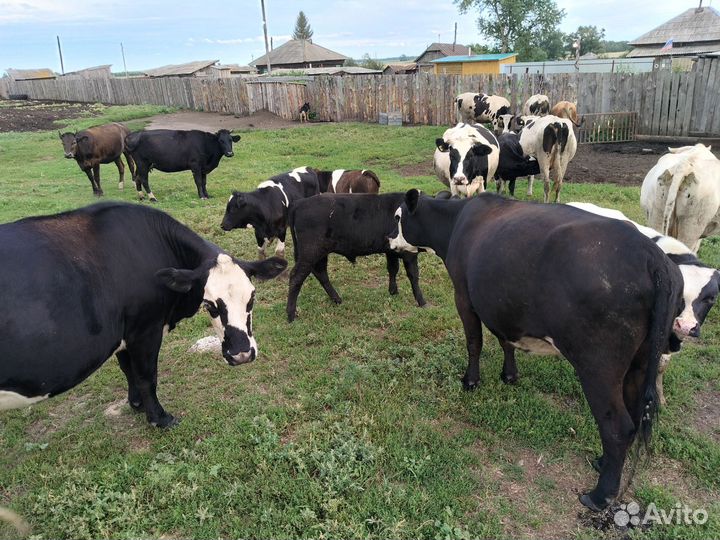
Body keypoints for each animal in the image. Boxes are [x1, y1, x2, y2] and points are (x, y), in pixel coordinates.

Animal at [0, 202, 287, 427]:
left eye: (252, 296)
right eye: (209, 304)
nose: (241, 354)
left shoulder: (124, 333)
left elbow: (129, 370)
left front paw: (137, 404)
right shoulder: (145, 330)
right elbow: (147, 376)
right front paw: (160, 418)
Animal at [286, 193, 426, 322]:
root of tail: (299, 203)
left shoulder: (391, 251)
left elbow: (393, 269)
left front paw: (393, 291)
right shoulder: (409, 252)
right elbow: (413, 275)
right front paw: (421, 301)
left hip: (319, 253)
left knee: (320, 273)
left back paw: (337, 299)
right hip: (310, 252)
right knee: (296, 276)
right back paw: (291, 315)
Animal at [389, 190, 683, 512]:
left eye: (397, 216)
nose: (388, 239)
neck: (457, 221)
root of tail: (652, 255)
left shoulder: (464, 296)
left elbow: (474, 342)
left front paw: (470, 381)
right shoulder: (501, 306)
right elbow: (504, 340)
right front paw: (509, 375)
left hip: (598, 366)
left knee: (617, 427)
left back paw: (599, 495)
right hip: (640, 361)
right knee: (633, 415)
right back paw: (602, 461)